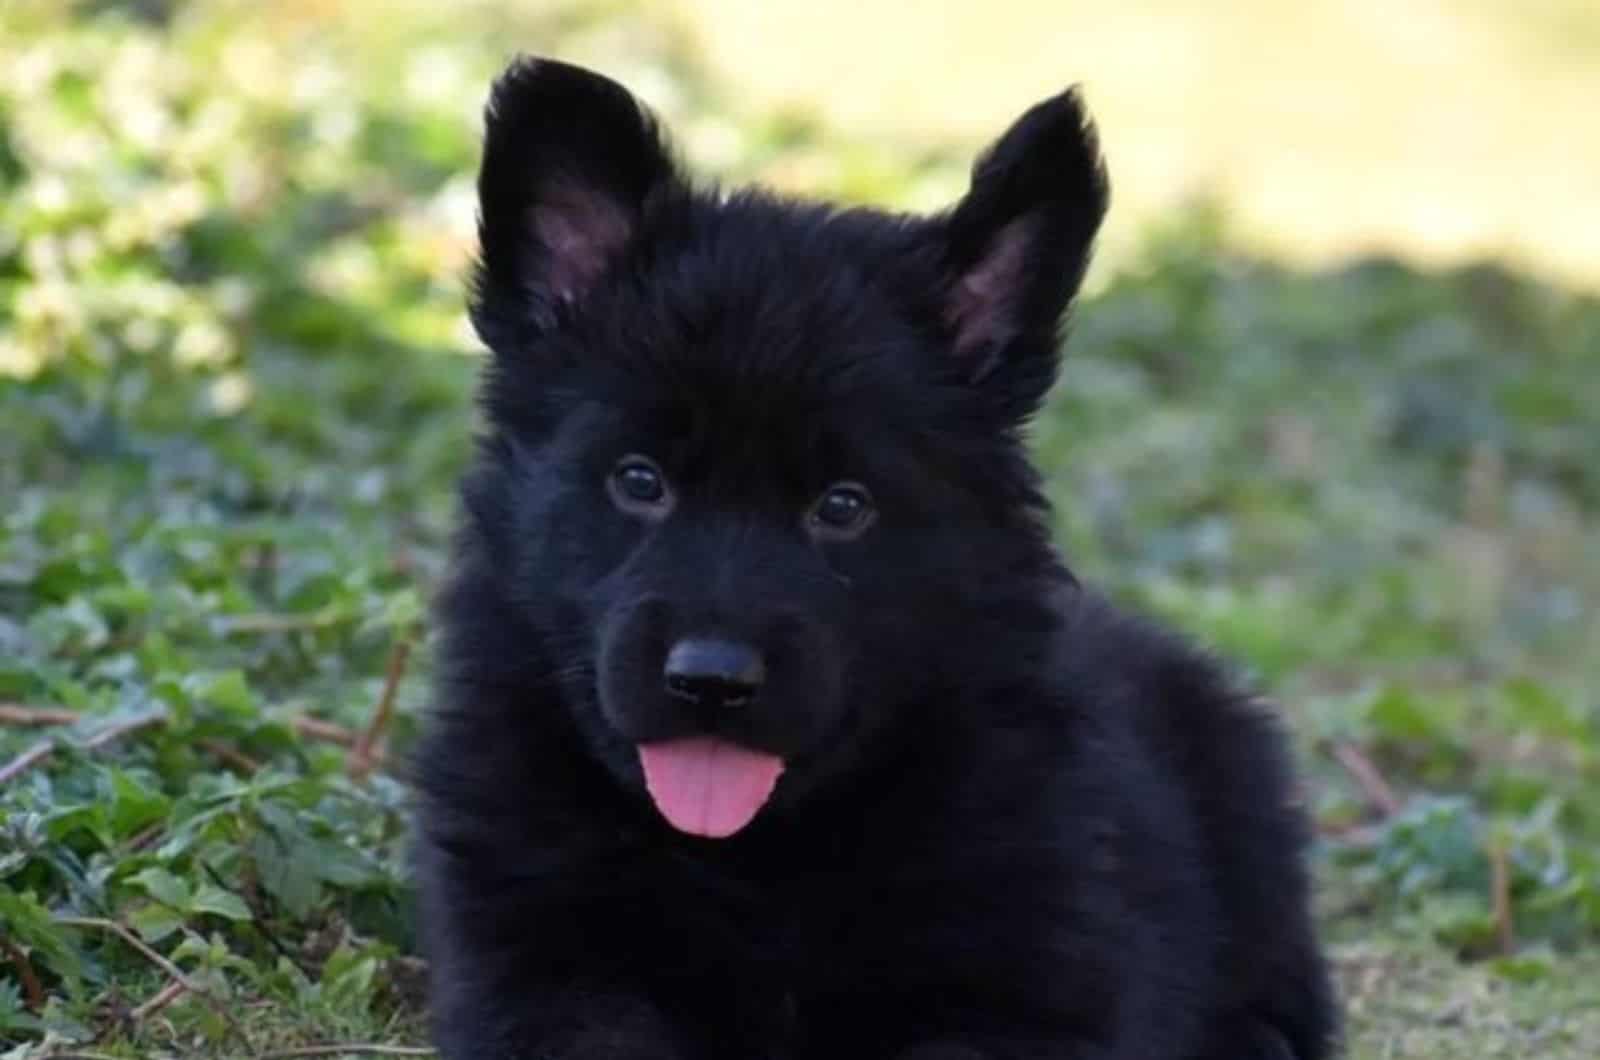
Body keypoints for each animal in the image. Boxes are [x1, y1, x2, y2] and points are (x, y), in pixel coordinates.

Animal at [416, 58, 1337, 1060]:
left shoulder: (1020, 983)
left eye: (844, 506)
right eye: (638, 479)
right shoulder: (546, 964)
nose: (712, 682)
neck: (758, 860)